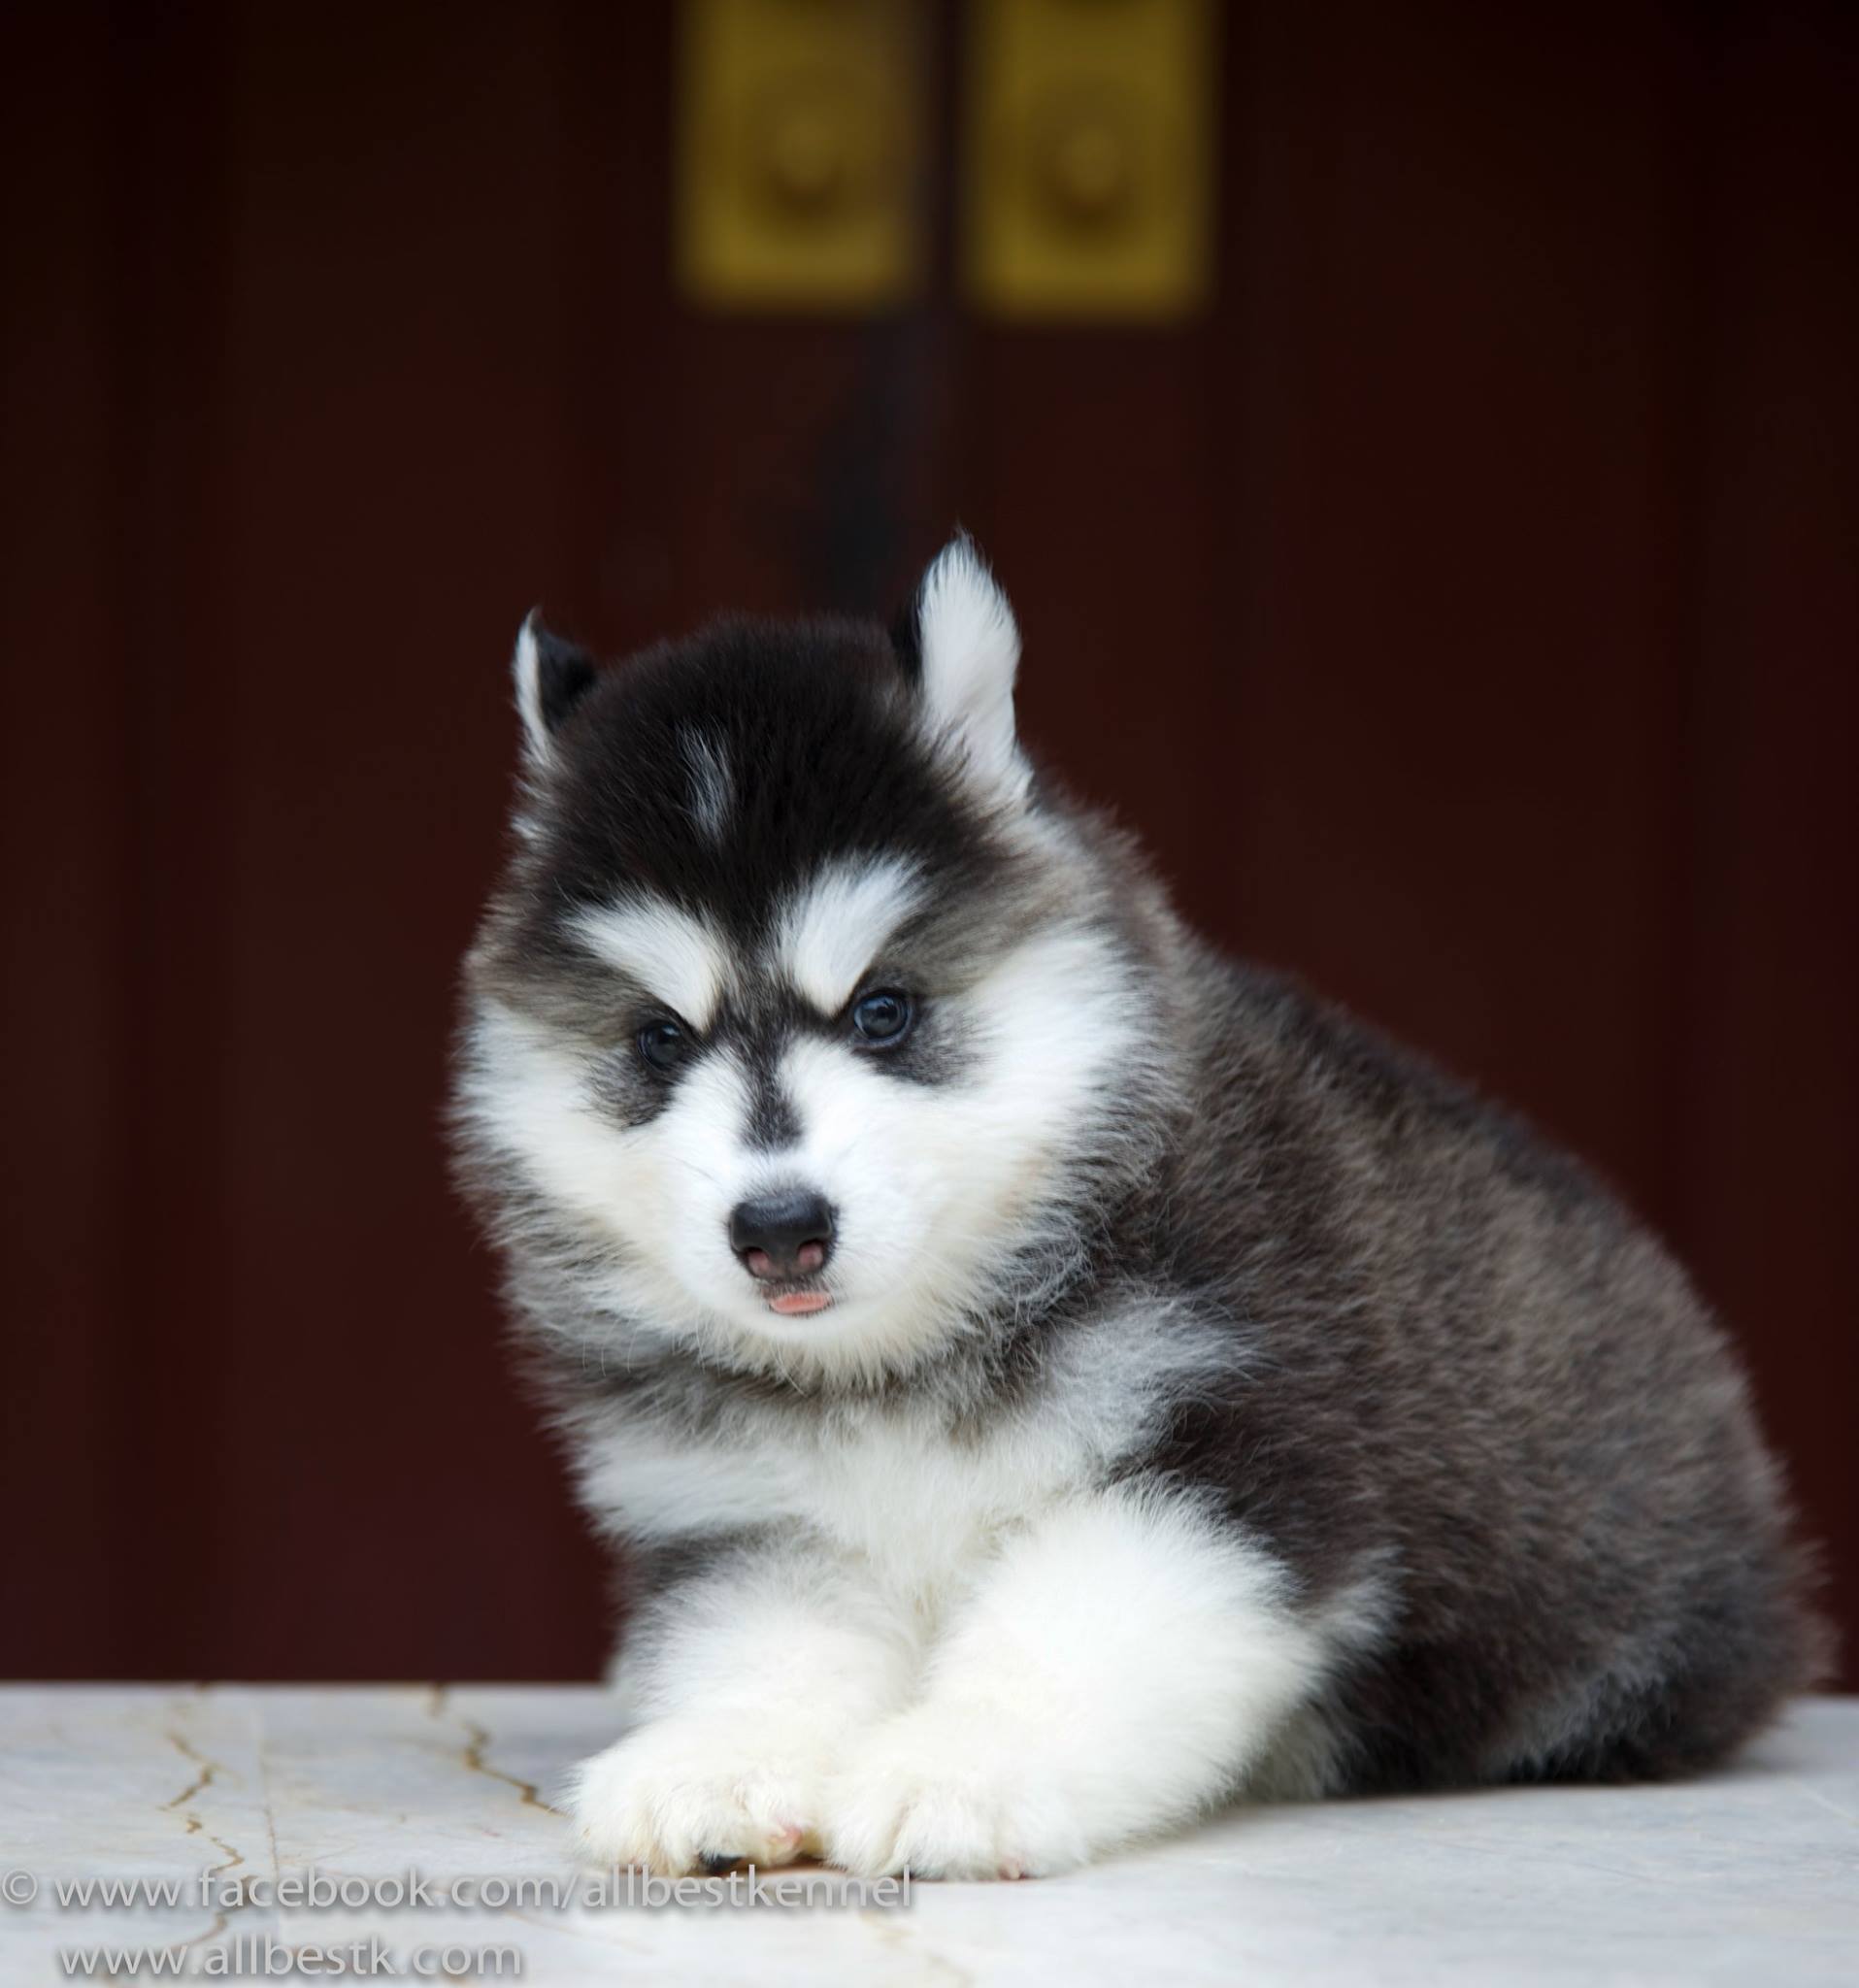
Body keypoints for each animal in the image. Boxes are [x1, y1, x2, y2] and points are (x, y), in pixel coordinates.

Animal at [452, 536, 1826, 1879]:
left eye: (885, 1009)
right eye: (656, 1039)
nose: (778, 1227)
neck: (904, 1353)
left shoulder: (1222, 1460)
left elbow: (1069, 1633)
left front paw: (961, 1766)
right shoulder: (747, 1515)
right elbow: (766, 1644)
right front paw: (720, 1755)